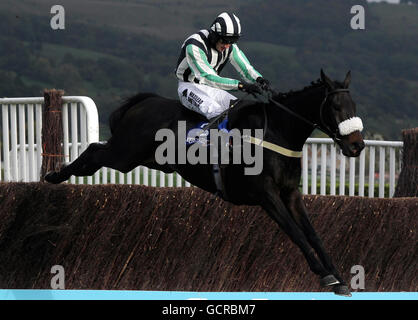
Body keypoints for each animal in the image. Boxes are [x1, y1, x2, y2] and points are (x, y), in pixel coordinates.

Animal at [46, 69, 366, 296]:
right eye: (336, 107)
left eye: (353, 104)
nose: (357, 145)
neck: (277, 132)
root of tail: (145, 101)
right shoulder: (265, 194)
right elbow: (295, 233)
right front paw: (325, 276)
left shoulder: (290, 194)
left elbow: (313, 234)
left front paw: (339, 278)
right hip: (124, 154)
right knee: (93, 151)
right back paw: (53, 175)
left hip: (144, 160)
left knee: (94, 157)